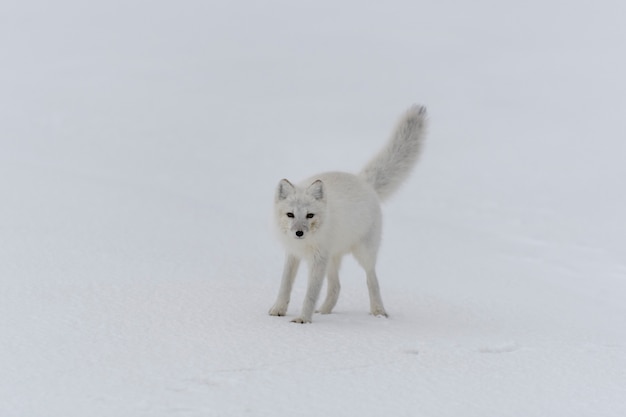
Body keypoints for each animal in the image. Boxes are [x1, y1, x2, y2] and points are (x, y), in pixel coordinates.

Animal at [266, 104, 426, 322]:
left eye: (310, 215)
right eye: (290, 214)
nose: (299, 233)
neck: (306, 243)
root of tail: (364, 182)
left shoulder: (318, 260)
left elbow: (311, 293)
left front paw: (303, 319)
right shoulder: (293, 254)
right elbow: (285, 285)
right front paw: (278, 310)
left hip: (363, 253)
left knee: (372, 280)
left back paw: (378, 311)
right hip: (333, 258)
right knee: (336, 287)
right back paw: (325, 311)